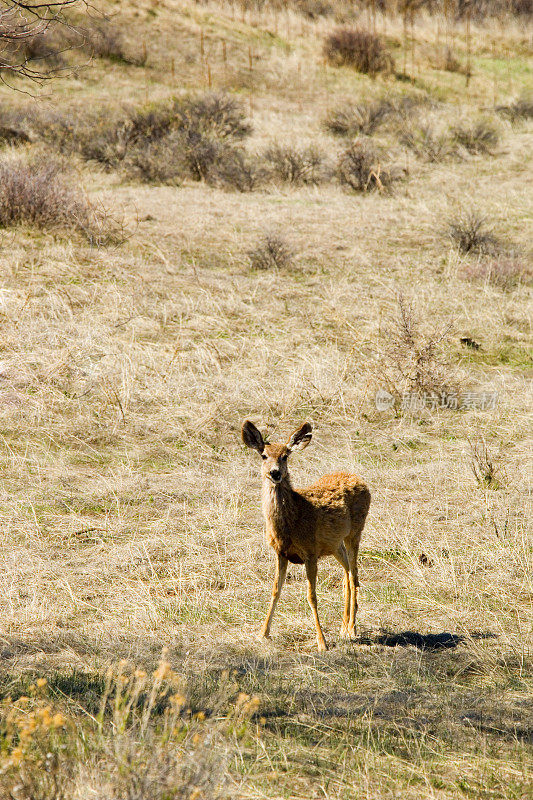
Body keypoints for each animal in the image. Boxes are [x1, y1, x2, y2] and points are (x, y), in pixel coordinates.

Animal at [241, 418, 370, 648]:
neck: (291, 522)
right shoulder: (280, 553)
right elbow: (275, 590)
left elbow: (311, 596)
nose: (275, 473)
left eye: (285, 456)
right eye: (263, 455)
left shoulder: (310, 552)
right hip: (335, 544)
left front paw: (322, 642)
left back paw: (352, 629)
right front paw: (263, 633)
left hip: (355, 531)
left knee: (354, 575)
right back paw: (343, 627)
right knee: (346, 575)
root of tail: (358, 478)